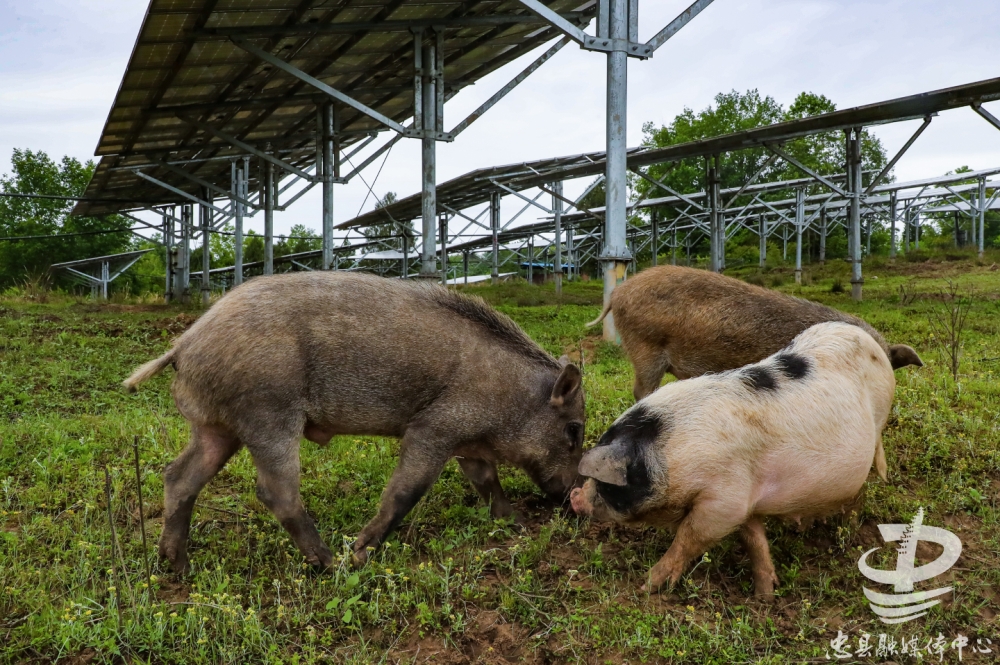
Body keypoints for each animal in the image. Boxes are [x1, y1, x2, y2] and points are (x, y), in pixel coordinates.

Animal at [123, 270, 584, 572]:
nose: (575, 495)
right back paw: (331, 563)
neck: (510, 395)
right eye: (574, 430)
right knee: (275, 491)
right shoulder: (435, 427)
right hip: (268, 413)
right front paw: (361, 553)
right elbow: (406, 490)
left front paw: (517, 525)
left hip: (217, 429)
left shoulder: (467, 443)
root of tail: (183, 344)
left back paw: (176, 566)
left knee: (178, 476)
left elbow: (488, 483)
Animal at [572, 322, 900, 596]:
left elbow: (688, 537)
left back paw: (849, 534)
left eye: (605, 484)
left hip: (878, 424)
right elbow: (753, 538)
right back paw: (803, 527)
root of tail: (867, 338)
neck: (669, 454)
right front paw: (765, 595)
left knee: (861, 489)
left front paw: (647, 586)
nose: (575, 496)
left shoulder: (723, 499)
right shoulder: (744, 496)